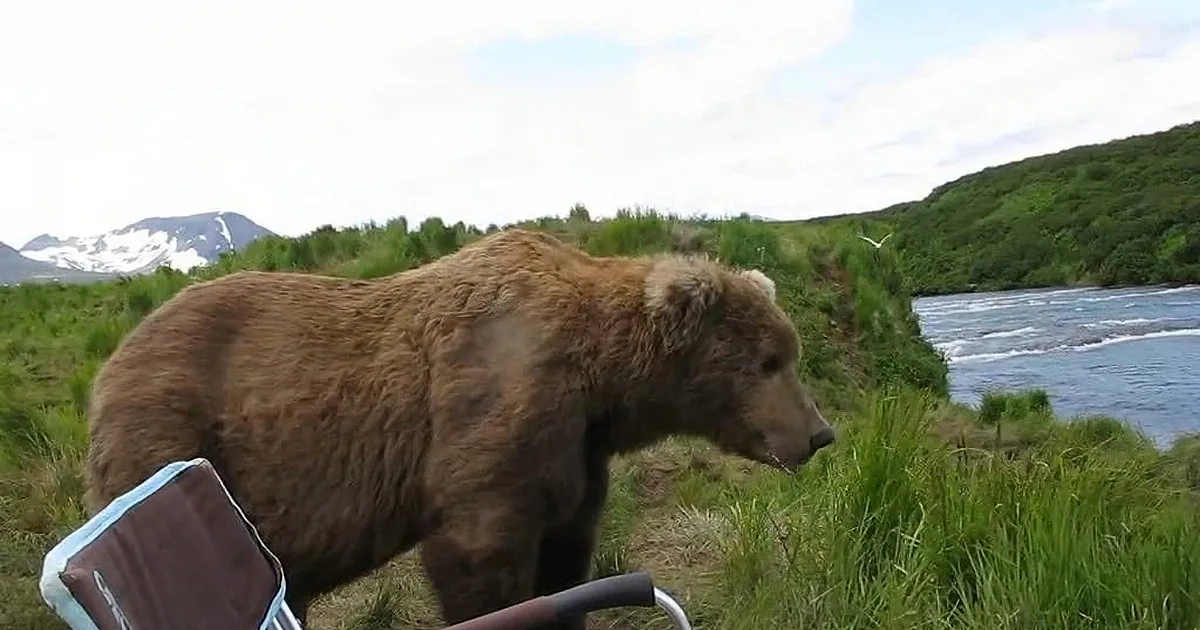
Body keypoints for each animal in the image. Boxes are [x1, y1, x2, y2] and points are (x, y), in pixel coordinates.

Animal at [82, 228, 836, 629]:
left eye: (788, 352)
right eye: (769, 361)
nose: (819, 432)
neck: (600, 378)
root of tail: (109, 366)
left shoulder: (575, 451)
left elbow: (567, 552)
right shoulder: (493, 409)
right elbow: (478, 555)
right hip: (173, 433)